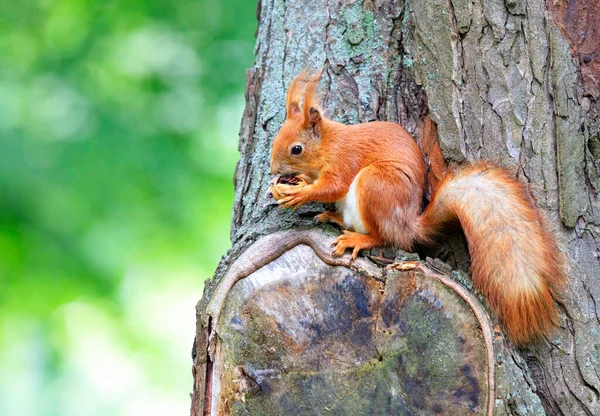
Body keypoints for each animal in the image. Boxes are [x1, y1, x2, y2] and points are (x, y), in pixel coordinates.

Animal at [270, 70, 564, 344]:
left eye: (297, 149)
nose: (273, 170)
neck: (327, 144)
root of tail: (408, 224)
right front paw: (291, 184)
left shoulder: (344, 159)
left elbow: (333, 186)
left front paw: (299, 193)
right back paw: (334, 217)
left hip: (377, 185)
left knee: (384, 236)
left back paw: (357, 239)